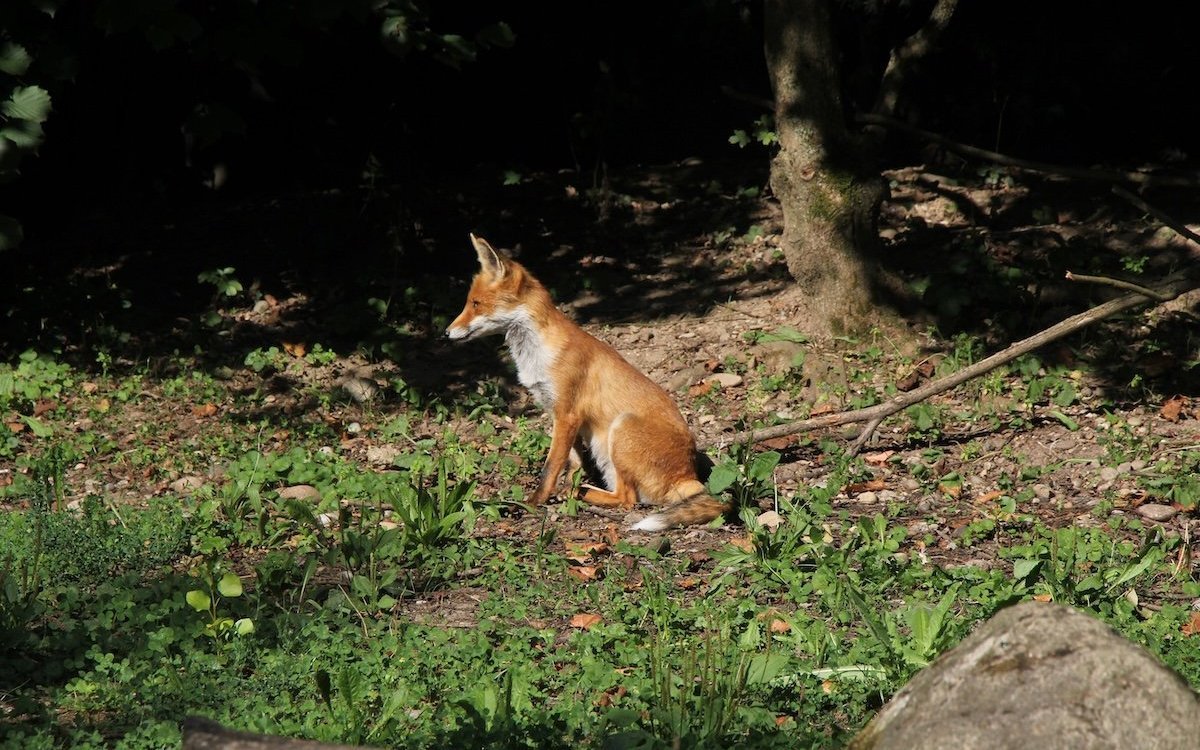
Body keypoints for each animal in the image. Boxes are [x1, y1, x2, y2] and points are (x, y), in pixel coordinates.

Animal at [445, 234, 728, 531]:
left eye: (475, 304)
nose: (446, 333)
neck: (539, 353)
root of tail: (688, 474)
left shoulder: (567, 414)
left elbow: (550, 469)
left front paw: (532, 503)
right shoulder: (562, 417)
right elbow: (571, 464)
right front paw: (563, 487)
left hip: (621, 429)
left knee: (627, 499)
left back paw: (580, 493)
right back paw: (574, 491)